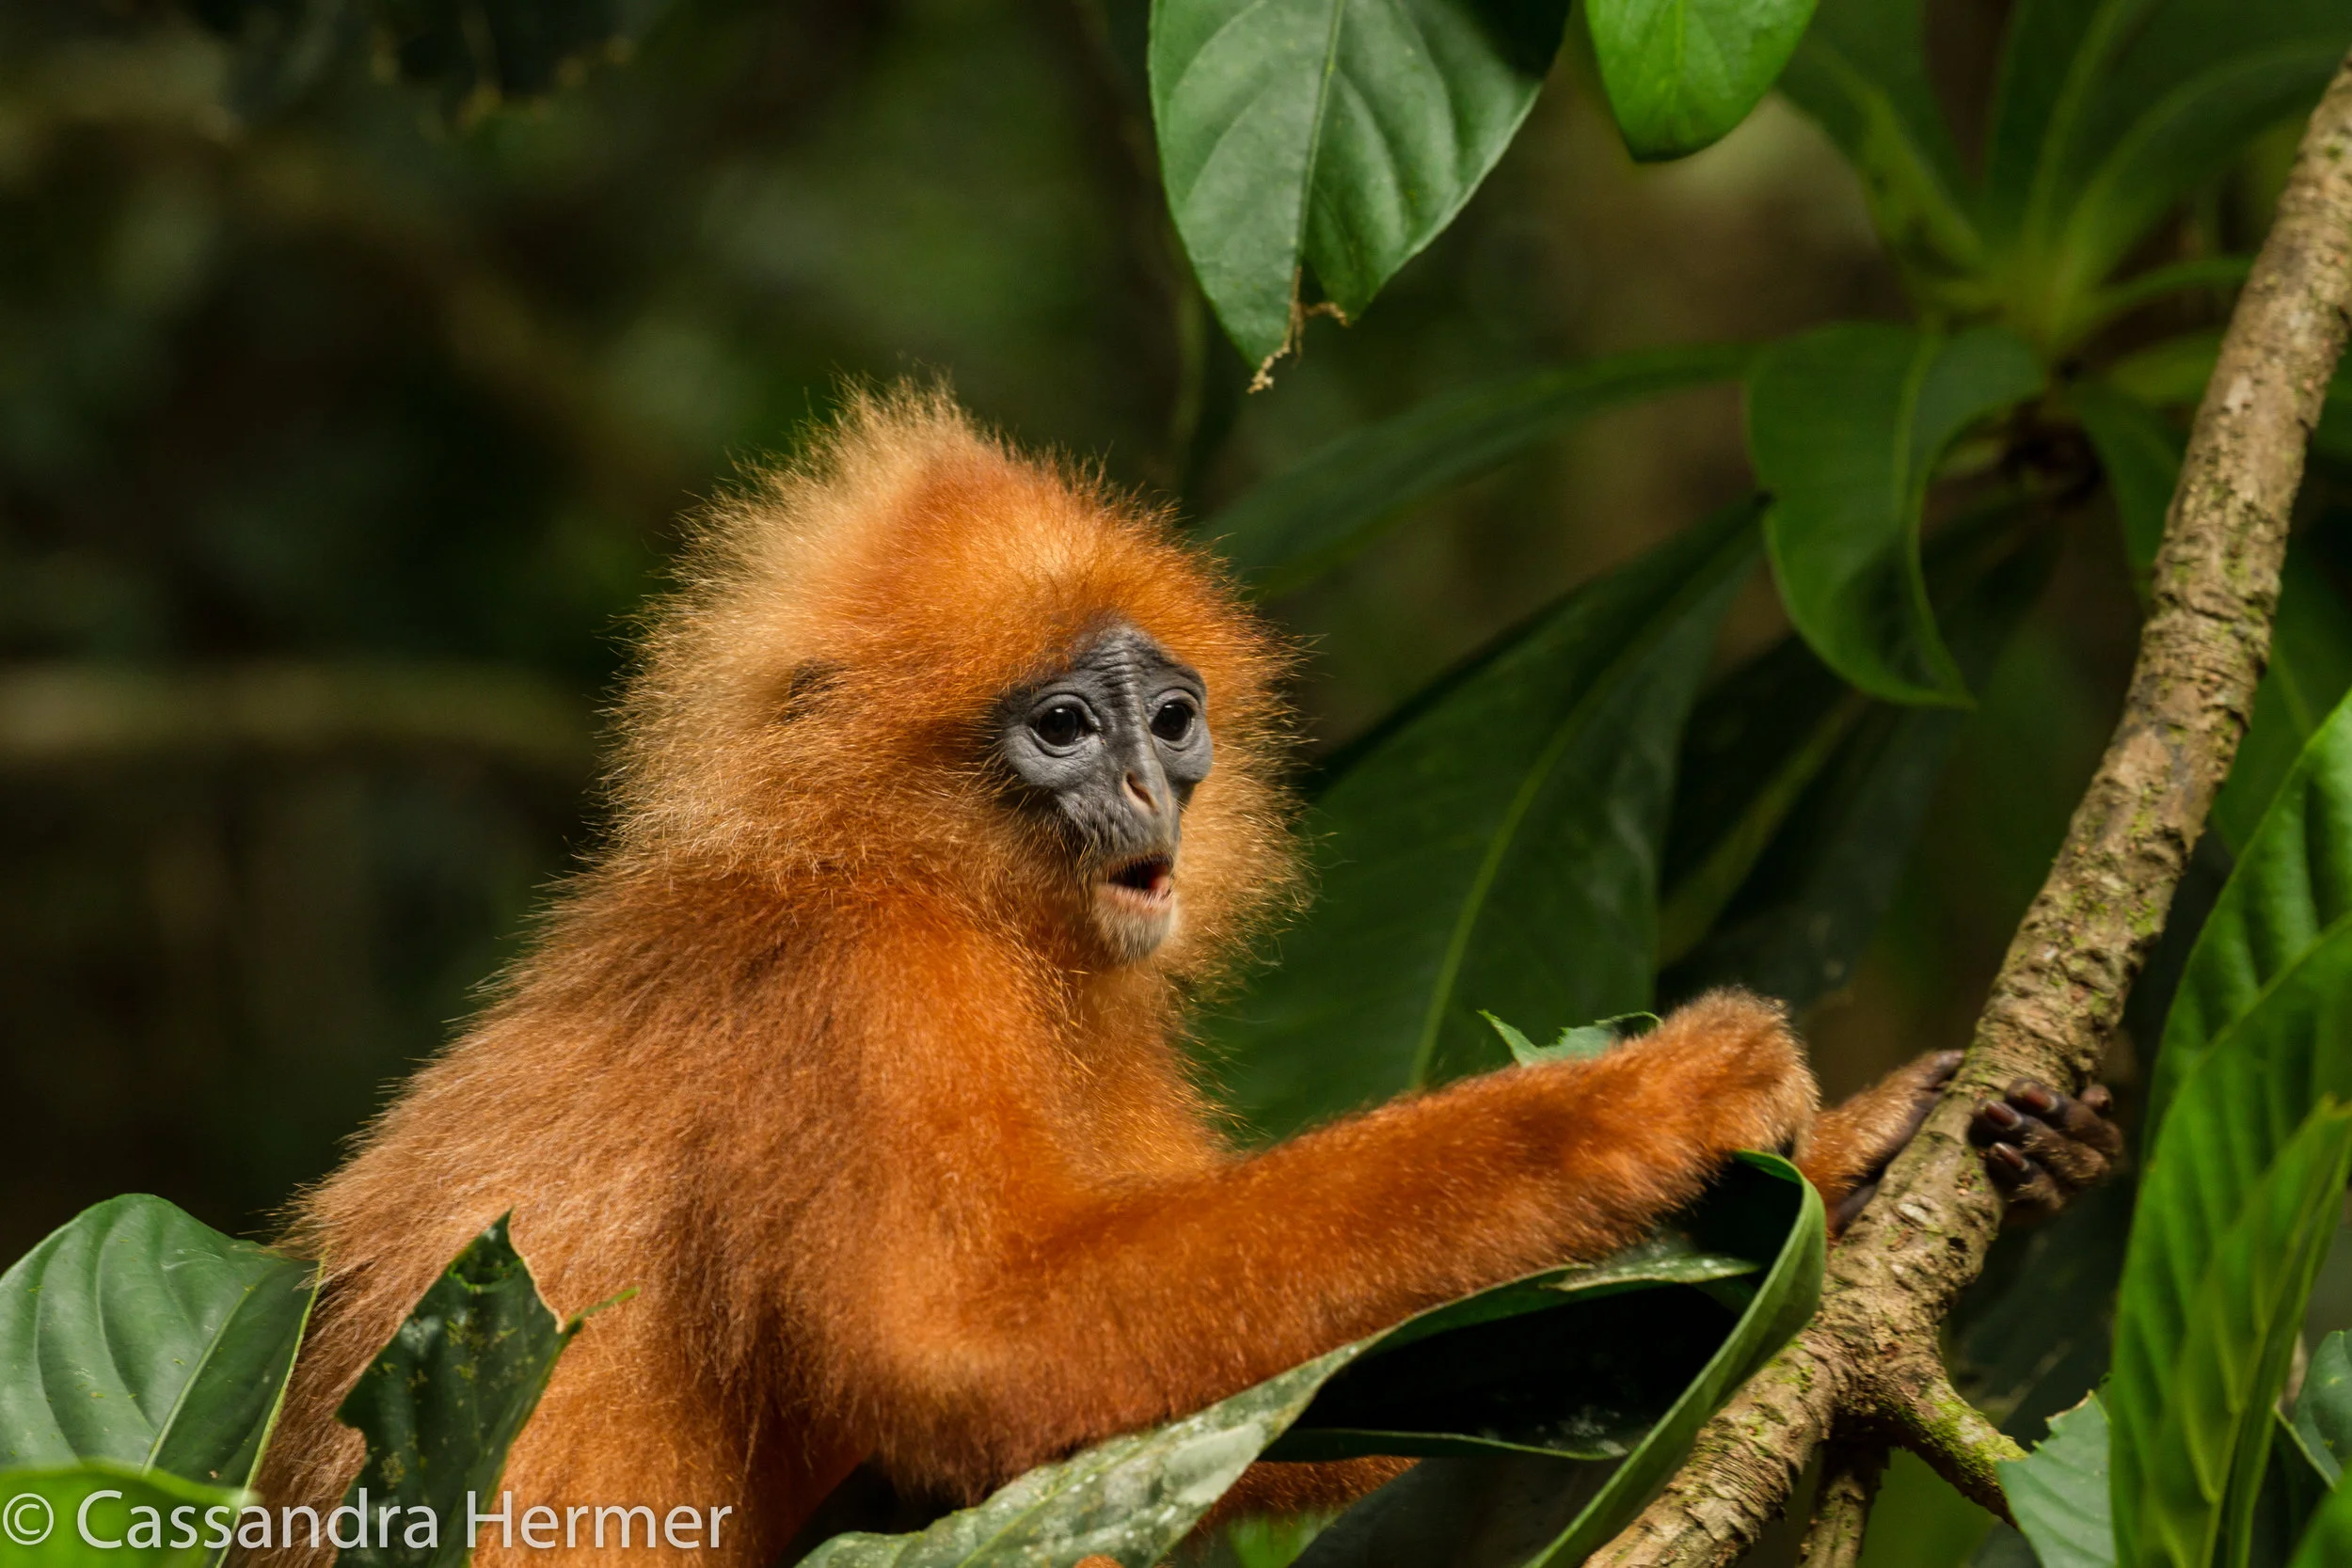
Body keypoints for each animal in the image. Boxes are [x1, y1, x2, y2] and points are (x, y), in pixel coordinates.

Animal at [249, 388, 2120, 1568]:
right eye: (1064, 729)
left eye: (1167, 715)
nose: (1153, 792)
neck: (912, 878)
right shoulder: (866, 990)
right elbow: (970, 1359)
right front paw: (1622, 1113)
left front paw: (1884, 1155)